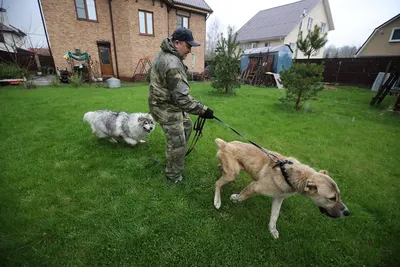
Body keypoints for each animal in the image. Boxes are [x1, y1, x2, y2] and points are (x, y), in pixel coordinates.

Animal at [212, 139, 350, 240]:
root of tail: (225, 144)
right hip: (233, 173)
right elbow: (242, 196)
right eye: (332, 198)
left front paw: (272, 231)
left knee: (220, 168)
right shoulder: (255, 186)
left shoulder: (279, 198)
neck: (289, 174)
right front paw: (235, 198)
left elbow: (275, 216)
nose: (347, 213)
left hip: (232, 170)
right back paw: (217, 201)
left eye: (339, 195)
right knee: (217, 183)